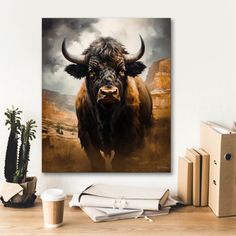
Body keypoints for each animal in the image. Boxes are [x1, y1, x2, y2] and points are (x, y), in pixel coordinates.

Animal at [61, 35, 152, 171]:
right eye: (92, 72)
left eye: (122, 71)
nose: (109, 93)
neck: (106, 116)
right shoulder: (86, 135)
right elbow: (97, 161)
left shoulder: (128, 135)